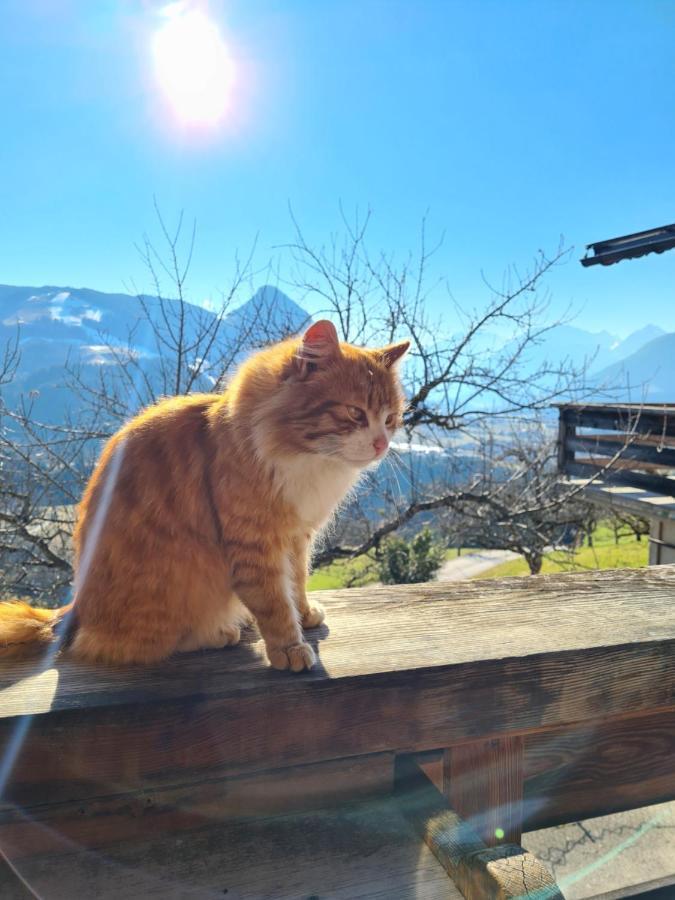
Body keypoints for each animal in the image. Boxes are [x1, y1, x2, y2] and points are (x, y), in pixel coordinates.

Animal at [0, 322, 406, 668]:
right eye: (355, 413)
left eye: (390, 419)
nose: (382, 444)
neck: (307, 460)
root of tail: (74, 610)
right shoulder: (256, 544)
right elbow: (275, 602)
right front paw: (290, 648)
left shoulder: (296, 538)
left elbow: (297, 583)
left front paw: (304, 615)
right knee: (131, 645)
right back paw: (220, 632)